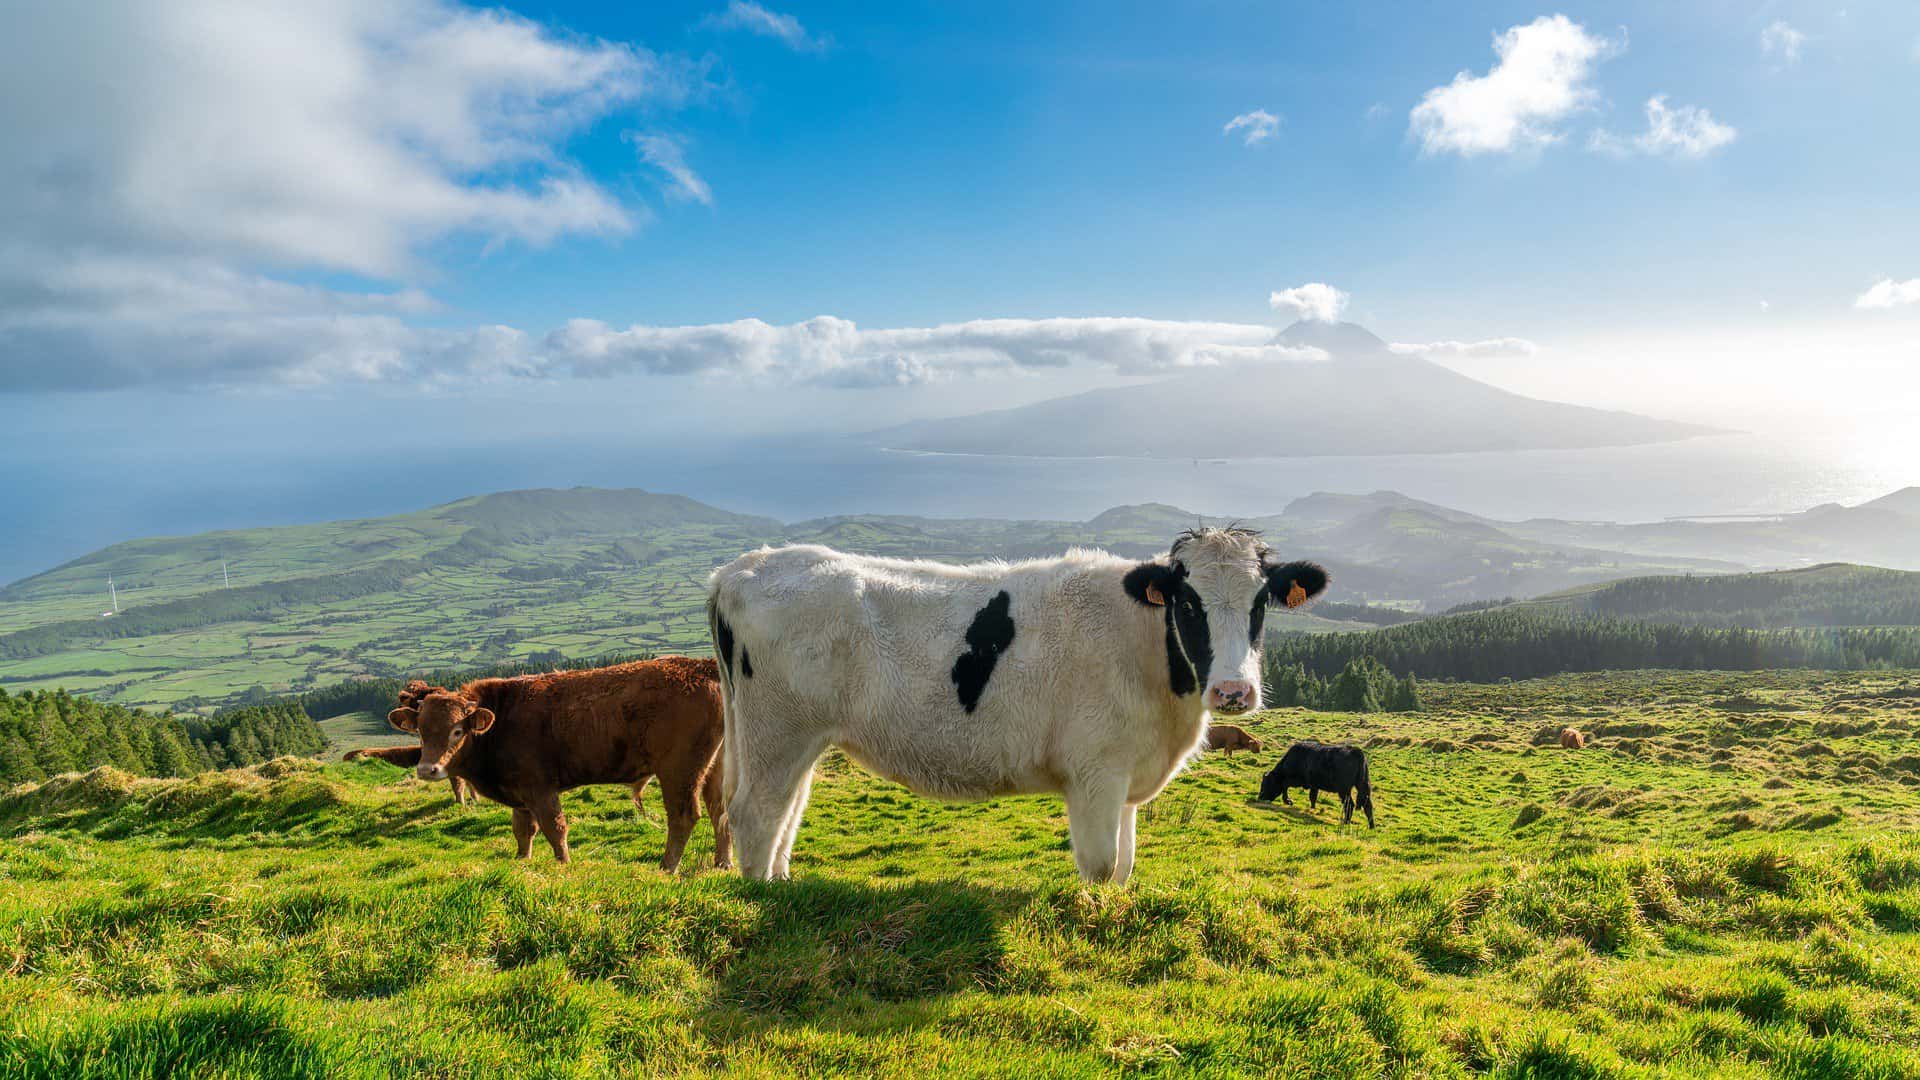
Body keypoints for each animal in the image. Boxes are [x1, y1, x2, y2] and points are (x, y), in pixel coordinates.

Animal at [385, 656, 730, 869]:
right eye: (420, 730)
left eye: (457, 730)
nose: (427, 769)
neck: (501, 719)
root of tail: (703, 666)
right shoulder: (520, 794)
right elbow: (523, 830)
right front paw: (521, 861)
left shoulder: (540, 788)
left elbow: (554, 828)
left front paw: (563, 864)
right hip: (717, 767)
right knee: (720, 811)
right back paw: (722, 863)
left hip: (679, 770)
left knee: (684, 816)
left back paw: (667, 867)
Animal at [708, 527, 1328, 883]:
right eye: (1189, 604)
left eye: (1261, 603)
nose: (1233, 691)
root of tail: (744, 566)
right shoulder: (1096, 771)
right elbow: (1102, 866)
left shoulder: (1127, 772)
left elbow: (1126, 865)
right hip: (777, 731)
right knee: (756, 813)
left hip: (796, 739)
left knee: (786, 812)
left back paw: (781, 887)